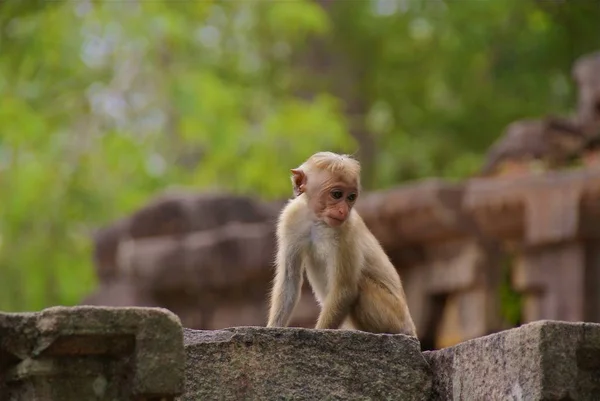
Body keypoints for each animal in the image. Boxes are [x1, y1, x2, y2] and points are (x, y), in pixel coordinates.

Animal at [268, 150, 418, 334]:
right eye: (337, 194)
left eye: (351, 197)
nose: (343, 210)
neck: (317, 220)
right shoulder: (290, 219)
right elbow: (289, 279)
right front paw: (273, 327)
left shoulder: (347, 230)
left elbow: (344, 290)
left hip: (392, 316)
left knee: (360, 282)